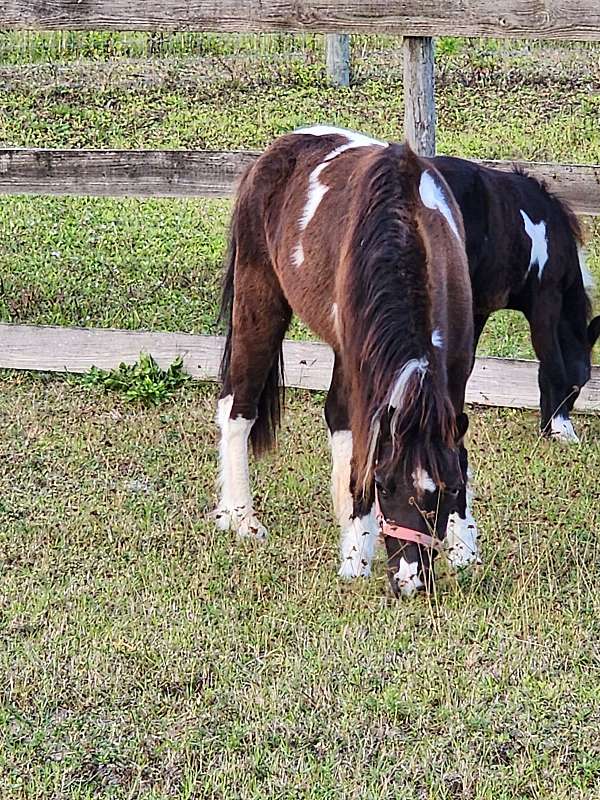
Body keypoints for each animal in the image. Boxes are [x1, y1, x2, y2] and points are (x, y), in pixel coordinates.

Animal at [216, 128, 478, 596]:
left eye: (445, 493)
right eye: (385, 486)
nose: (409, 581)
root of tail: (279, 148)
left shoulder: (454, 371)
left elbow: (456, 450)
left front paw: (463, 549)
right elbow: (363, 451)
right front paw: (355, 557)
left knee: (333, 417)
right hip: (258, 299)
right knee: (238, 406)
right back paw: (241, 517)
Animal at [434, 156, 596, 444]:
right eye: (579, 383)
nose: (547, 428)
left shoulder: (479, 309)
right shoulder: (546, 301)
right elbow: (553, 364)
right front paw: (565, 430)